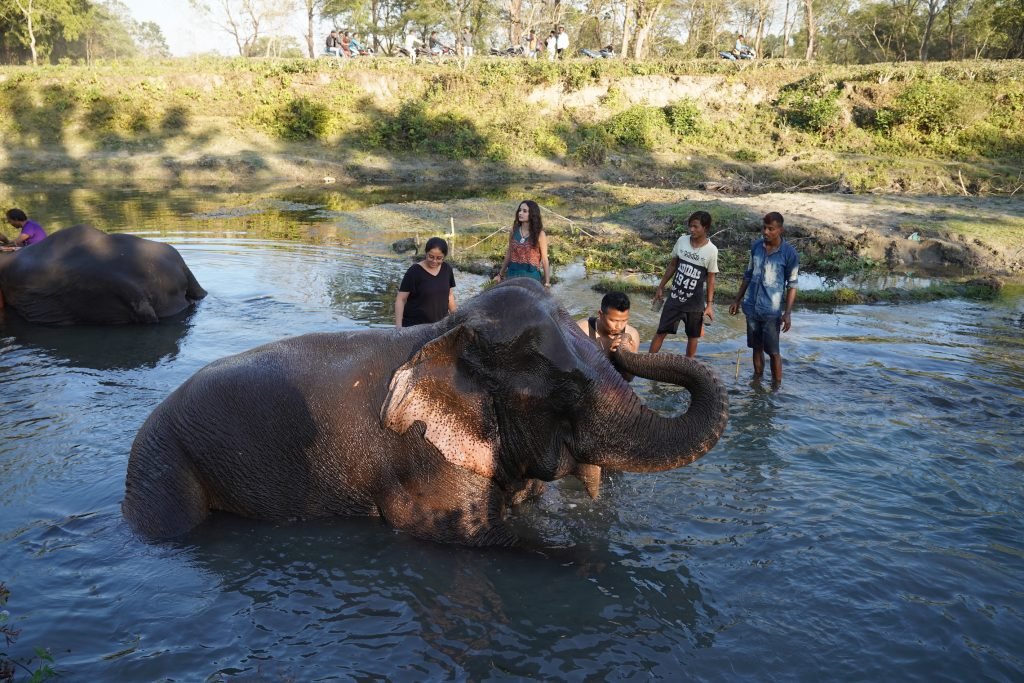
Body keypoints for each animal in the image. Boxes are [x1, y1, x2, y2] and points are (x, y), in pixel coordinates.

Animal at [123, 276, 729, 544]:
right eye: (567, 392)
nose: (622, 341)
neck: (443, 337)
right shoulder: (422, 458)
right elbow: (470, 539)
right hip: (163, 461)